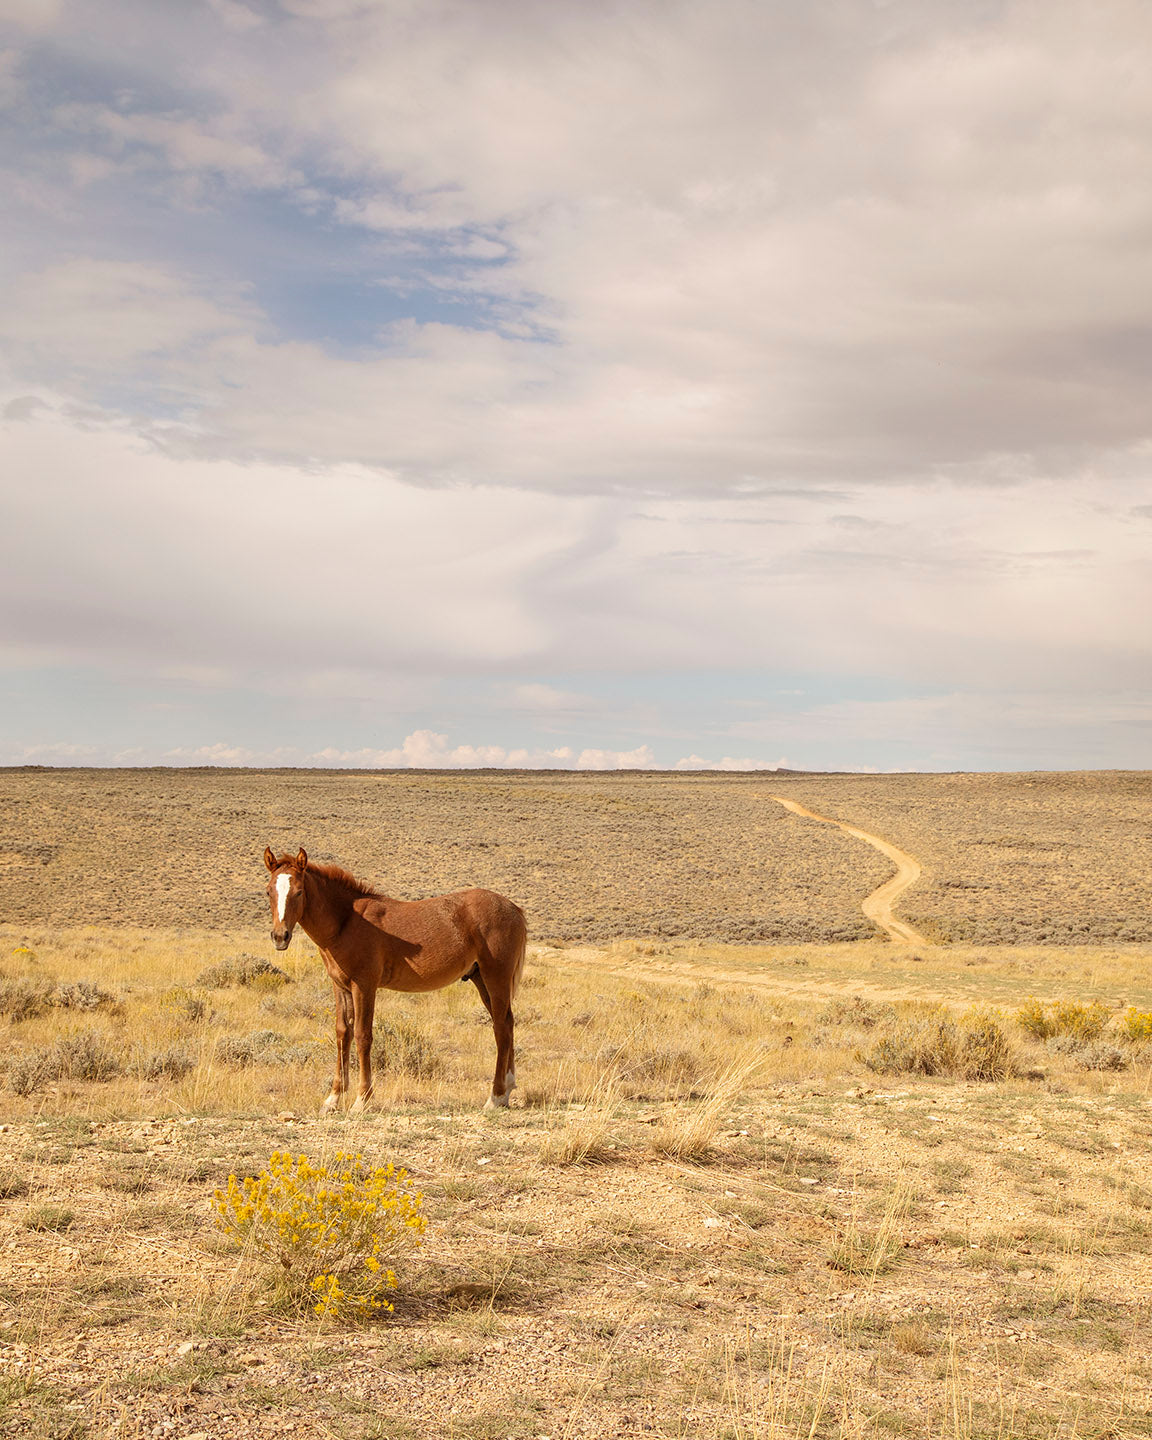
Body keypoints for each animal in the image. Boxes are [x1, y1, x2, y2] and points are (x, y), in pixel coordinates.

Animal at [262, 846, 527, 1105]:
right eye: (268, 892)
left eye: (299, 892)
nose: (280, 937)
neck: (346, 921)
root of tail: (514, 908)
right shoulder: (341, 987)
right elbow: (342, 1033)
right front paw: (334, 1098)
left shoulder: (364, 986)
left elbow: (362, 1035)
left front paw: (363, 1099)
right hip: (481, 980)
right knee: (507, 1022)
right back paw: (508, 1088)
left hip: (496, 979)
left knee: (500, 1029)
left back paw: (495, 1096)